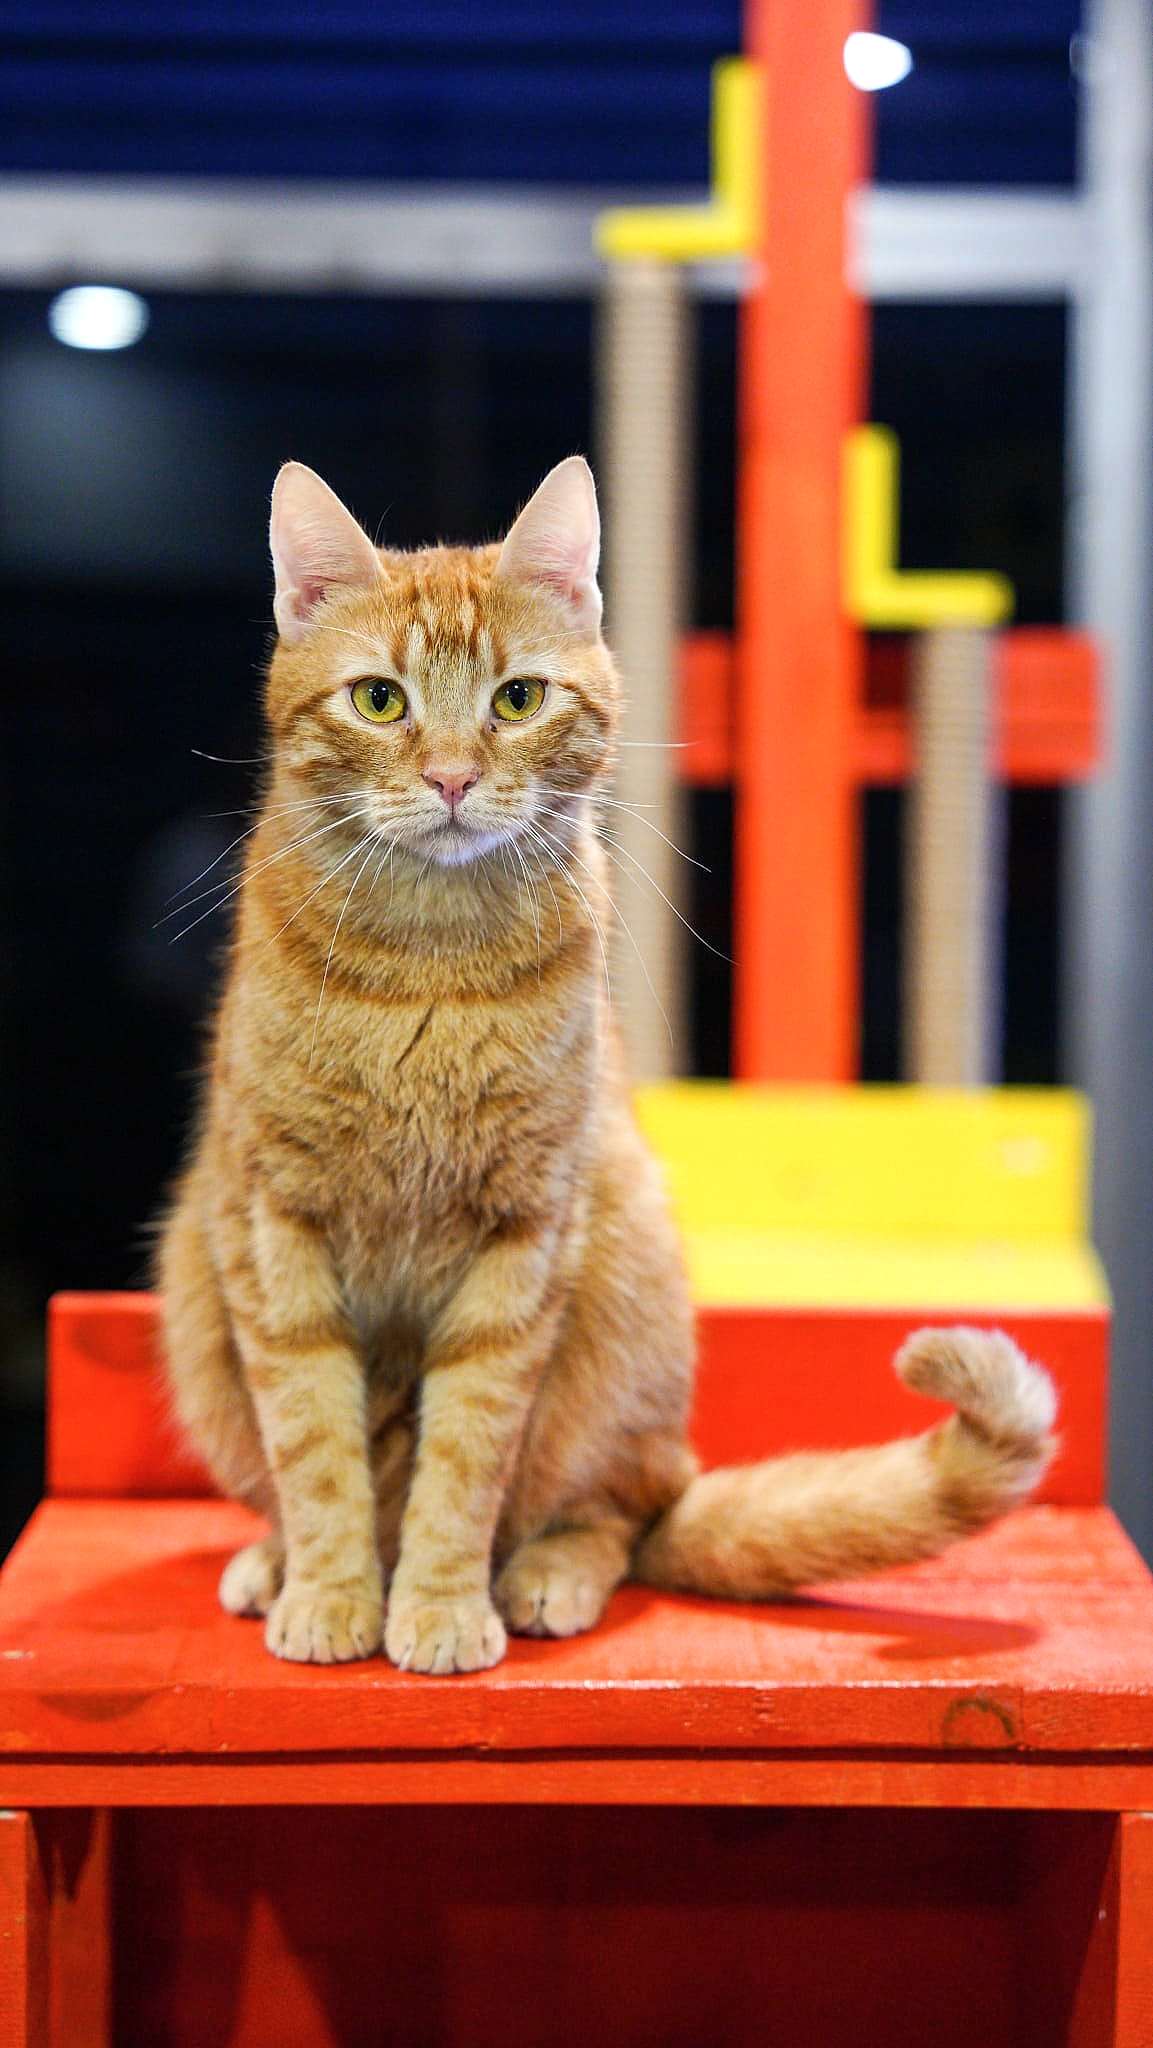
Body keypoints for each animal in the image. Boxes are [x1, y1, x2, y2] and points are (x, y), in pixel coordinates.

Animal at [157, 455, 1057, 1675]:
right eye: (380, 700)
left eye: (517, 700)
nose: (450, 778)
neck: (429, 965)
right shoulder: (271, 1224)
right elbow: (316, 1451)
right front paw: (336, 1590)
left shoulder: (523, 1235)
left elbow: (463, 1462)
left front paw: (437, 1606)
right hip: (194, 1292)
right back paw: (274, 1560)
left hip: (622, 1291)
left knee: (623, 1511)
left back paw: (547, 1573)